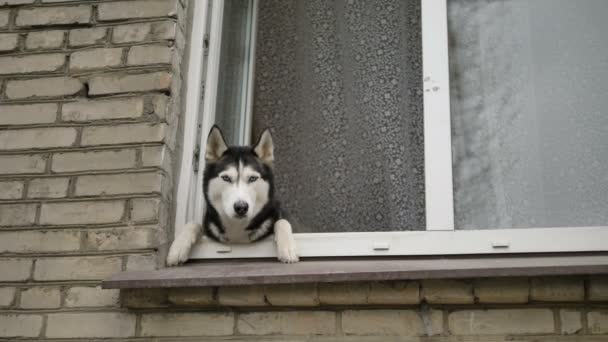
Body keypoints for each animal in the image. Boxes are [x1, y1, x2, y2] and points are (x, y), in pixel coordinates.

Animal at [166, 125, 300, 264]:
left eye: (252, 178)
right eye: (226, 178)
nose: (241, 207)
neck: (237, 229)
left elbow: (282, 221)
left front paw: (287, 247)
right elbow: (193, 223)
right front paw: (178, 247)